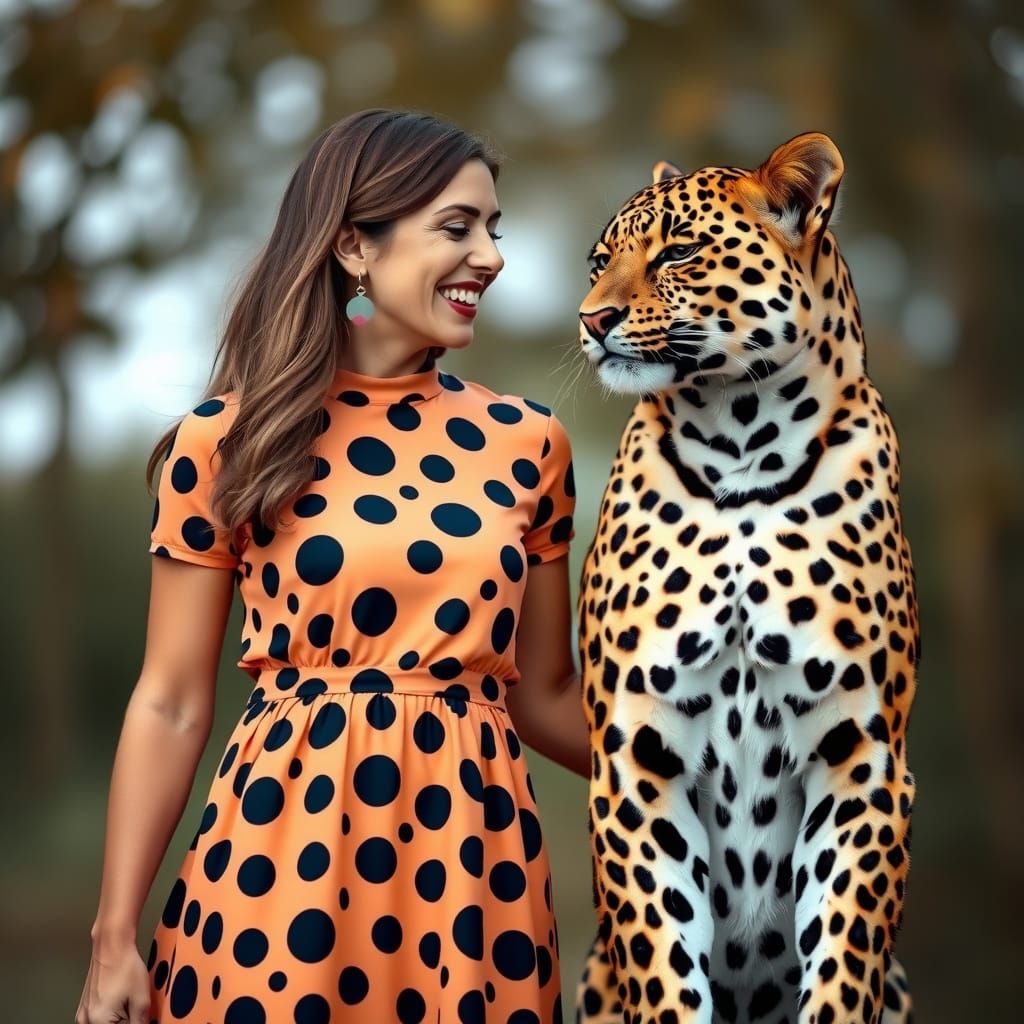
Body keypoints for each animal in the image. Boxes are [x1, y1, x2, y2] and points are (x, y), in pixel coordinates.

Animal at [572, 132, 918, 1024]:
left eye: (678, 252)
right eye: (599, 262)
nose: (591, 319)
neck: (741, 447)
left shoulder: (862, 757)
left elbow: (842, 959)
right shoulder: (636, 754)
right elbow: (664, 959)